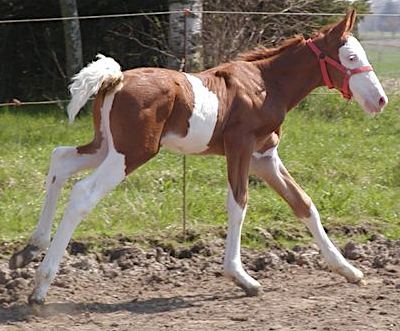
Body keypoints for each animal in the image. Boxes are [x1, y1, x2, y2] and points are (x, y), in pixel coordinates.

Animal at [10, 9, 388, 304]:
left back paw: (28, 250)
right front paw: (241, 277)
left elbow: (303, 203)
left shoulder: (264, 156)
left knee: (61, 161)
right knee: (83, 193)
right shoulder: (241, 147)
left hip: (106, 145)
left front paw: (349, 270)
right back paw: (40, 285)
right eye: (350, 58)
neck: (266, 84)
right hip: (131, 153)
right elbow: (239, 202)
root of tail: (113, 79)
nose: (381, 100)